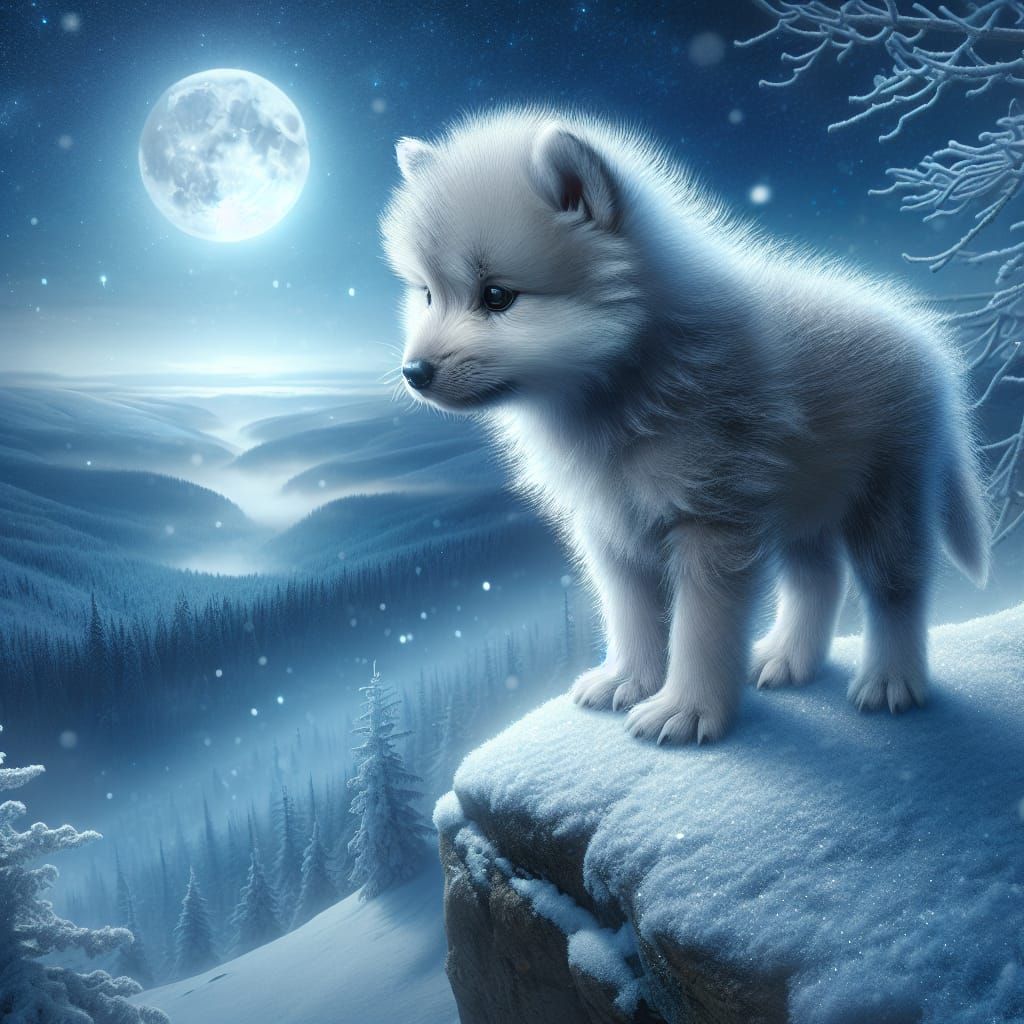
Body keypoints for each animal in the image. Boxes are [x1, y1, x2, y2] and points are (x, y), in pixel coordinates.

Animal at [380, 108, 990, 745]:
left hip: (888, 497)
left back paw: (893, 681)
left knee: (897, 588)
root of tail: (926, 342)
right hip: (806, 500)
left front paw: (688, 711)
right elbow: (630, 611)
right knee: (819, 579)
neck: (623, 385)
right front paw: (628, 680)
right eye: (428, 294)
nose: (413, 373)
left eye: (497, 296)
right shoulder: (611, 524)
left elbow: (700, 626)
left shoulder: (714, 520)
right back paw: (787, 659)